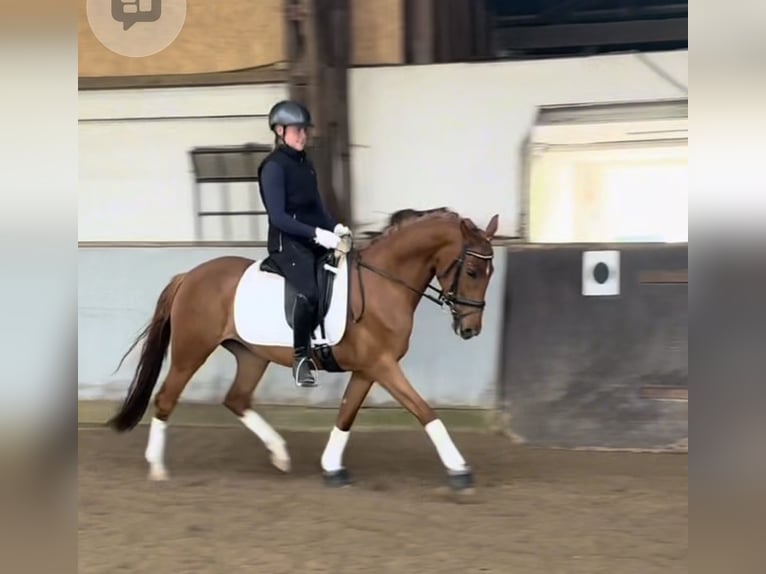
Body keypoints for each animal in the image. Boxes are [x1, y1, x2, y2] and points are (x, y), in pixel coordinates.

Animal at [106, 207, 500, 491]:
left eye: (490, 273)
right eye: (473, 271)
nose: (470, 329)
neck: (383, 284)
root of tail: (189, 276)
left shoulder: (368, 368)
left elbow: (346, 415)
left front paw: (332, 468)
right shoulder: (383, 365)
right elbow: (425, 411)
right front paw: (459, 469)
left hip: (251, 354)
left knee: (236, 399)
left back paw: (280, 454)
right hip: (192, 351)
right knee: (166, 398)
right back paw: (158, 467)